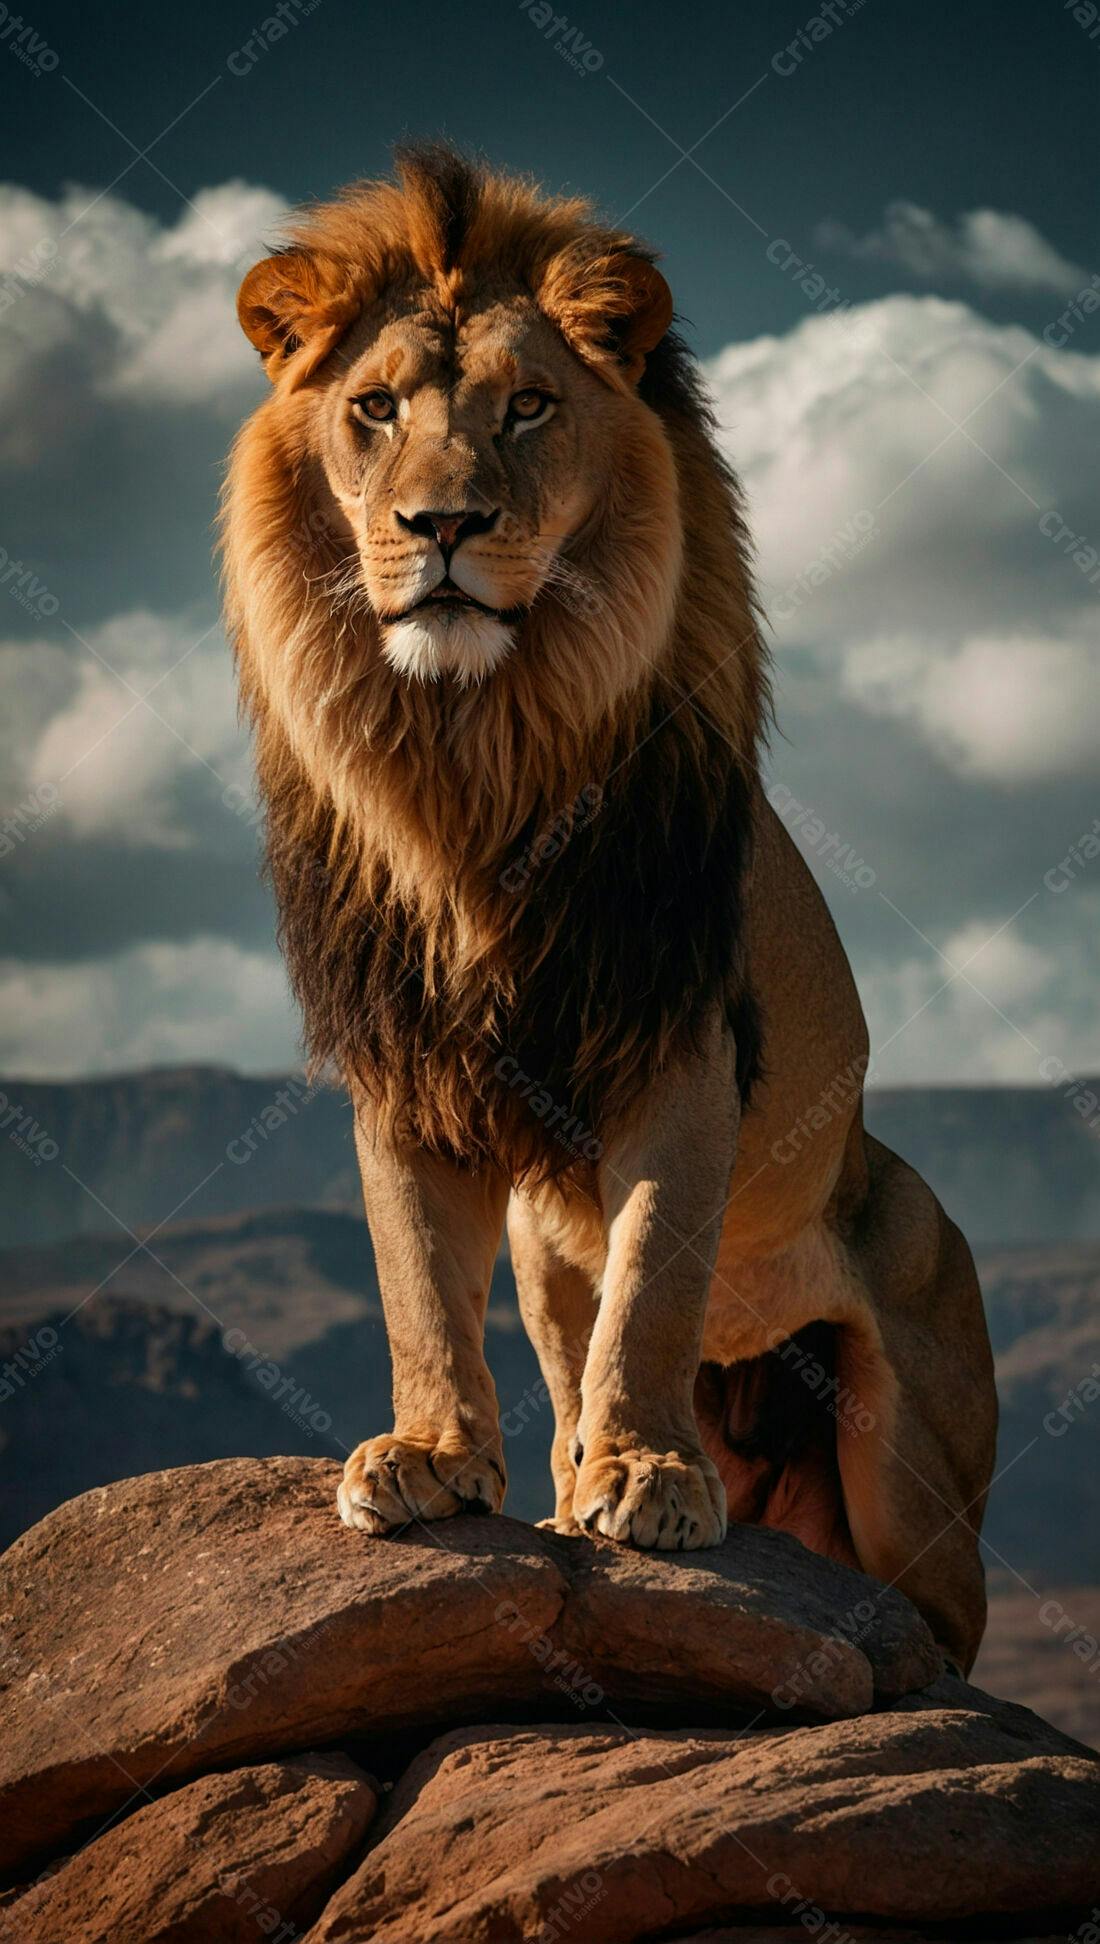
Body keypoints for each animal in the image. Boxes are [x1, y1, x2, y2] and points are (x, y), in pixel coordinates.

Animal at [222, 145, 997, 1671]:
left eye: (527, 406)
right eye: (373, 410)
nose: (442, 526)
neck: (469, 760)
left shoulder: (677, 1037)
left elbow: (653, 1277)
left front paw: (645, 1475)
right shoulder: (406, 1059)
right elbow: (415, 1277)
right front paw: (431, 1454)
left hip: (913, 1467)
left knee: (943, 1624)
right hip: (543, 1262)